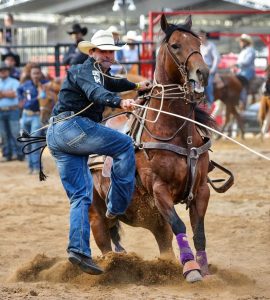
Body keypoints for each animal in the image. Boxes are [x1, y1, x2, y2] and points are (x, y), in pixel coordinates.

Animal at [89, 14, 216, 282]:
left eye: (198, 43)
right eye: (176, 45)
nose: (202, 72)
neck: (177, 133)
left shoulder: (201, 190)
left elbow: (198, 231)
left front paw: (204, 269)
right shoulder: (160, 189)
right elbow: (180, 225)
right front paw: (191, 269)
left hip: (153, 217)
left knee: (163, 238)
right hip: (95, 209)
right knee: (104, 240)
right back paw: (110, 267)